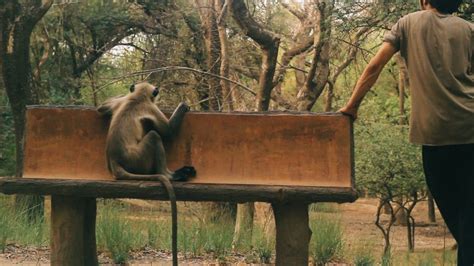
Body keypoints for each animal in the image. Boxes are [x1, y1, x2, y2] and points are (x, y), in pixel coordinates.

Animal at [97, 82, 195, 266]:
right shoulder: (150, 107)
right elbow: (168, 132)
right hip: (139, 158)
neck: (137, 97)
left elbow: (101, 107)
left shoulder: (121, 101)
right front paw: (183, 106)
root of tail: (114, 161)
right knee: (154, 136)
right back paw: (172, 175)